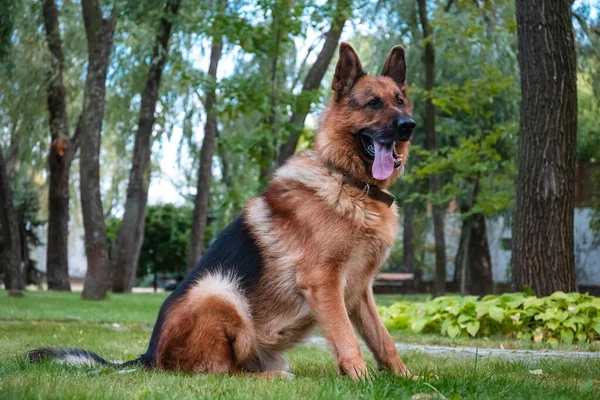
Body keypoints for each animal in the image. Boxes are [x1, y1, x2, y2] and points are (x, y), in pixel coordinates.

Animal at [27, 43, 412, 382]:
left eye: (400, 101)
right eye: (373, 103)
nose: (408, 125)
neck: (347, 181)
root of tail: (149, 355)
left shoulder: (359, 291)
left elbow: (383, 340)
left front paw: (407, 378)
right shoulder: (324, 282)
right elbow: (347, 338)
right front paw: (361, 379)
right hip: (218, 290)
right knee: (222, 373)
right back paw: (273, 378)